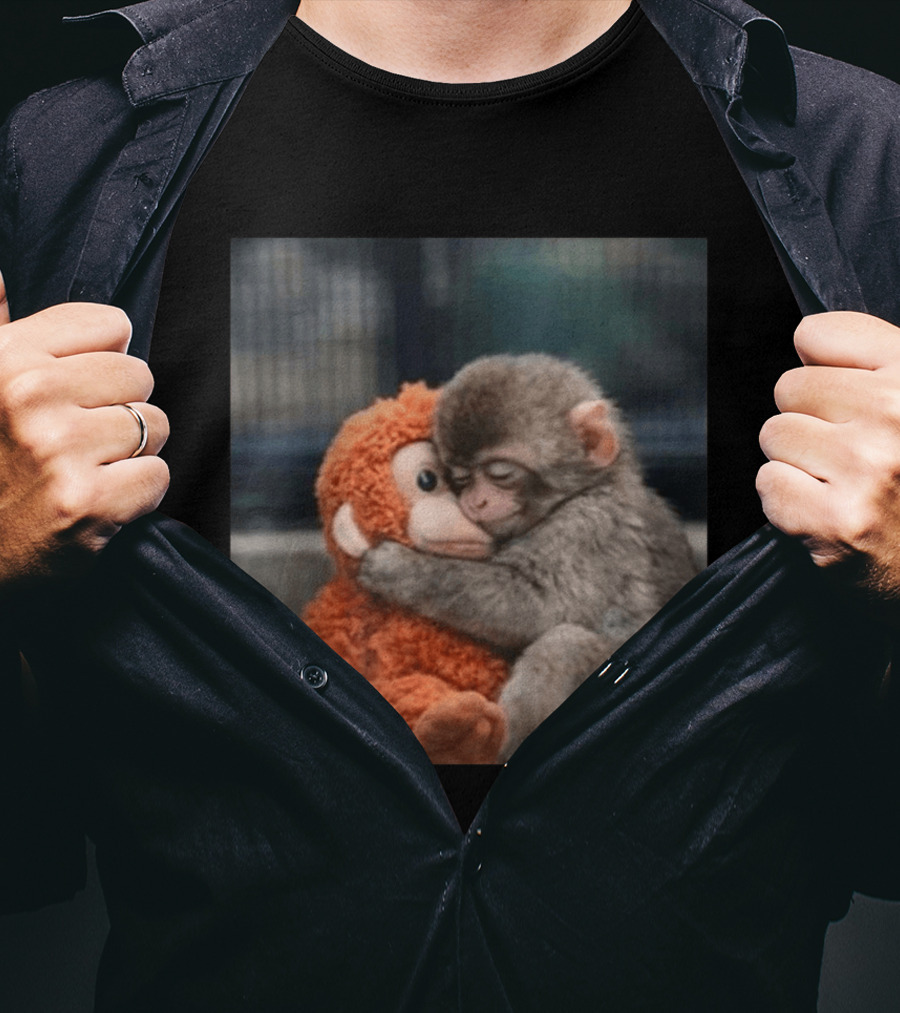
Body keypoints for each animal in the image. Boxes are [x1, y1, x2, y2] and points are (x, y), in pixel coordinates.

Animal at [358, 354, 699, 758]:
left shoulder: (589, 529)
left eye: (500, 474)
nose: (476, 502)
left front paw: (397, 568)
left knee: (563, 647)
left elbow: (539, 605)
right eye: (461, 480)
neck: (584, 491)